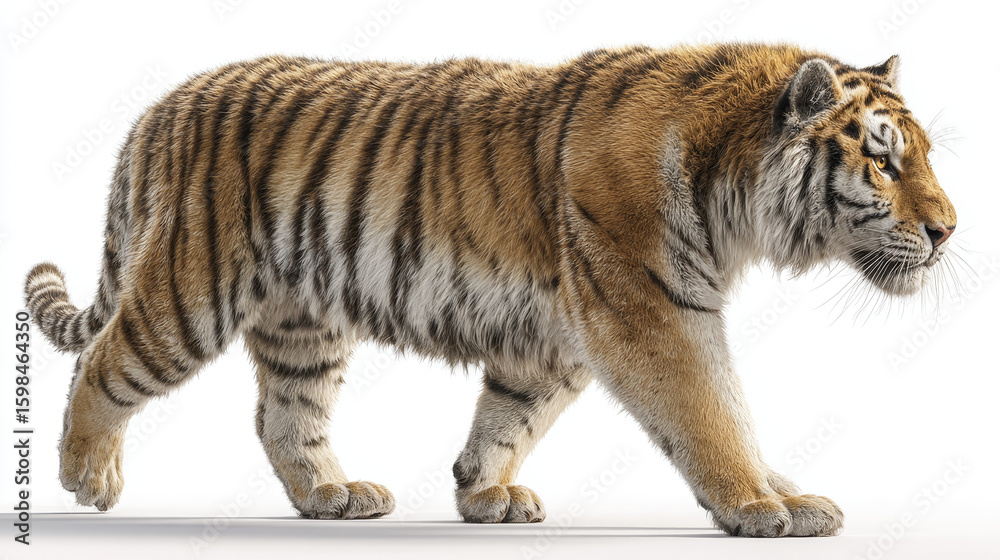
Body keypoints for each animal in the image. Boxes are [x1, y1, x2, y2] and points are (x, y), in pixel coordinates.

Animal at [24, 42, 956, 537]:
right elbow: (714, 412)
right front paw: (761, 505)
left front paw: (482, 493)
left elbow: (511, 416)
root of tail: (160, 107)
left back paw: (332, 495)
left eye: (922, 155)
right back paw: (85, 476)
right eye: (883, 161)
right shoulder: (651, 311)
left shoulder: (558, 336)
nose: (950, 229)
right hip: (189, 292)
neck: (733, 191)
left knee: (281, 414)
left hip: (303, 324)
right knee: (103, 365)